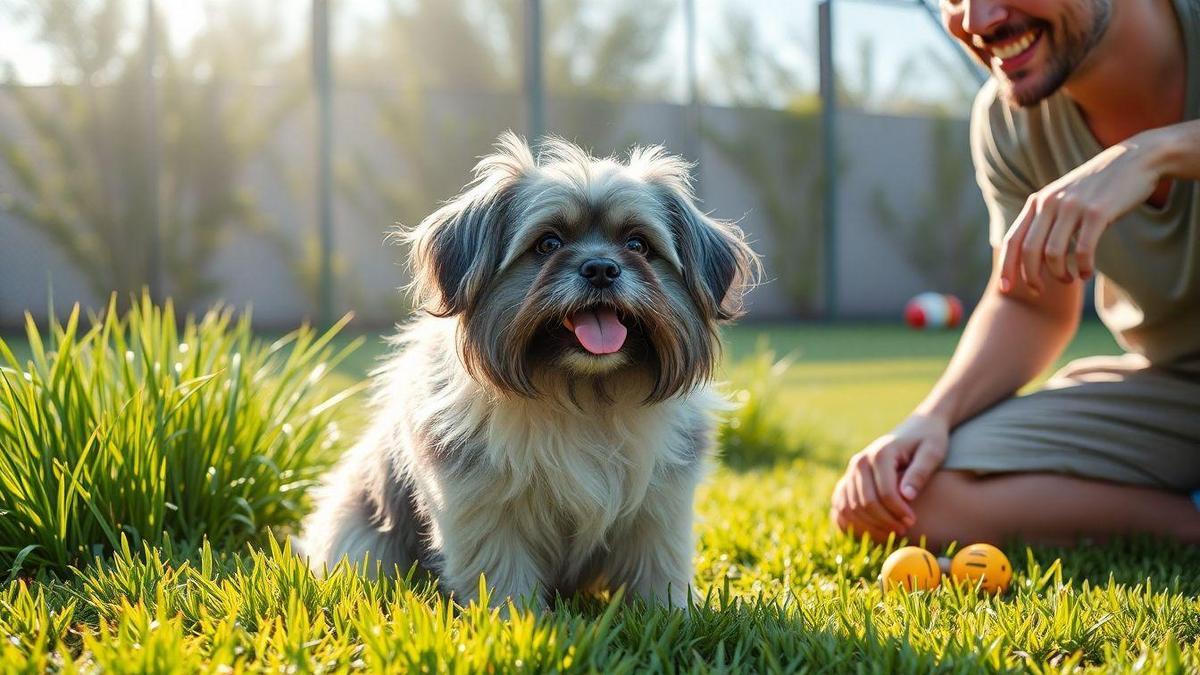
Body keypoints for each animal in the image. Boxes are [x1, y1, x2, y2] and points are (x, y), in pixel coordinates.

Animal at [296, 131, 753, 605]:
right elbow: (503, 572)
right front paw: (515, 617)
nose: (601, 268)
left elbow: (657, 566)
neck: (580, 395)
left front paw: (668, 612)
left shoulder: (660, 508)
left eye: (638, 245)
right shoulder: (484, 510)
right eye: (548, 244)